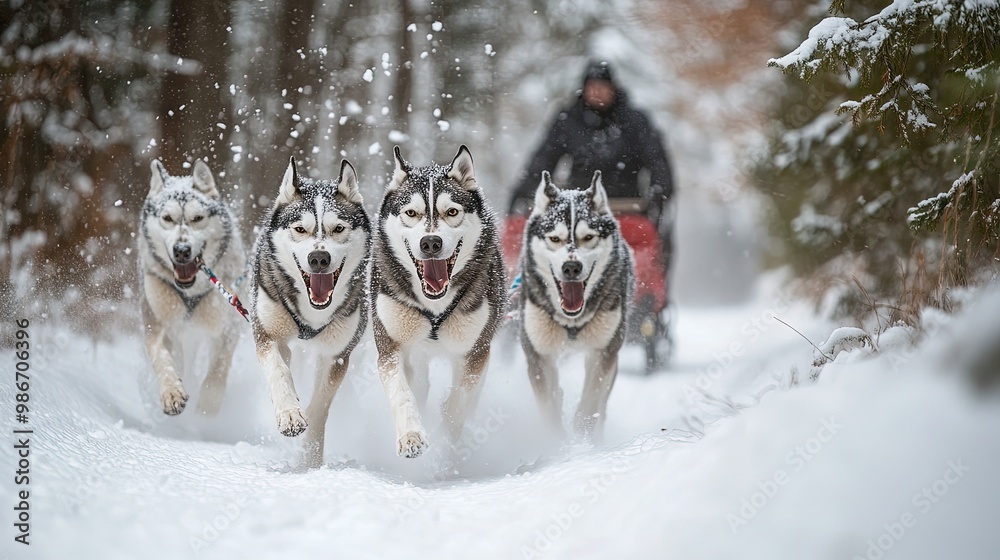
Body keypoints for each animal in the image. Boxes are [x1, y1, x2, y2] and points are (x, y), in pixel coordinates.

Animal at [138, 159, 245, 417]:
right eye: (167, 218)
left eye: (197, 218)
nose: (182, 250)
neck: (191, 290)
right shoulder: (157, 323)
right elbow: (163, 358)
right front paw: (172, 392)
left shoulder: (227, 327)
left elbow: (218, 369)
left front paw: (207, 407)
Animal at [249, 157, 369, 467]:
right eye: (300, 229)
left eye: (338, 228)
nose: (319, 258)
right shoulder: (266, 332)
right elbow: (278, 370)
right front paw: (289, 414)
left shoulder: (336, 354)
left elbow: (319, 408)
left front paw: (310, 460)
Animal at [370, 145, 507, 458]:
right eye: (411, 212)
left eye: (452, 211)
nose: (430, 243)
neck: (434, 306)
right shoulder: (390, 346)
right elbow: (401, 392)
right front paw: (411, 436)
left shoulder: (475, 352)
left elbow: (459, 402)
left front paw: (447, 440)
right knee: (419, 384)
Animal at [518, 170, 635, 440]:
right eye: (555, 238)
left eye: (588, 237)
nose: (571, 267)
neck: (571, 320)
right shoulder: (539, 355)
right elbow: (549, 410)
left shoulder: (603, 353)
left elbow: (589, 406)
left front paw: (583, 442)